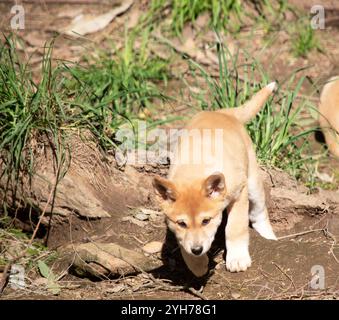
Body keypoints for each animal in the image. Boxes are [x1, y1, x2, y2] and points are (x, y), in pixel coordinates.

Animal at [153, 82, 278, 278]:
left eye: (206, 221)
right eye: (181, 223)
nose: (197, 249)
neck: (195, 170)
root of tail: (224, 113)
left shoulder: (239, 193)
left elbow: (235, 227)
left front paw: (237, 258)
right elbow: (183, 243)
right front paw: (197, 264)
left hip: (253, 184)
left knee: (259, 213)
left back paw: (269, 236)